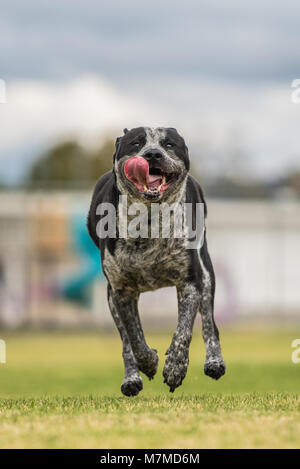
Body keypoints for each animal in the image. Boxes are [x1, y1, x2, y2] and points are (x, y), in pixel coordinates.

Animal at [86, 125, 225, 394]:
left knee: (209, 323)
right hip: (111, 298)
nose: (152, 154)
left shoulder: (190, 282)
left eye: (169, 144)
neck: (148, 220)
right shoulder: (121, 291)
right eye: (136, 143)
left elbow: (183, 331)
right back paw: (131, 379)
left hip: (206, 275)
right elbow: (135, 338)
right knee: (125, 341)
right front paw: (149, 362)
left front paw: (175, 368)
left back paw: (214, 362)